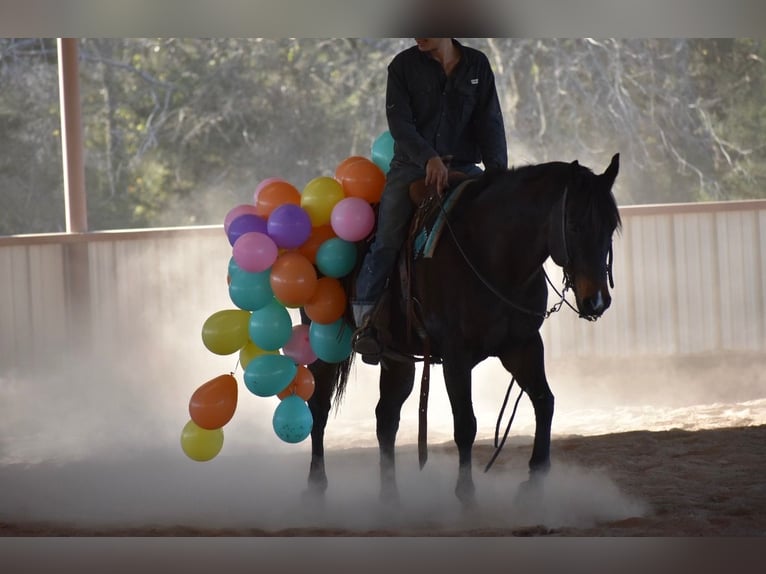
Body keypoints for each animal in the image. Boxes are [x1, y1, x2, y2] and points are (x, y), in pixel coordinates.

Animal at [305, 153, 621, 506]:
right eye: (575, 225)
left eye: (610, 227)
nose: (597, 301)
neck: (493, 255)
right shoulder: (457, 356)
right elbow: (465, 423)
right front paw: (466, 494)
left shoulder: (522, 345)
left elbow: (544, 401)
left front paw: (533, 482)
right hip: (321, 343)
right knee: (319, 409)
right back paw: (316, 487)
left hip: (397, 357)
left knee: (386, 417)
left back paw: (390, 497)